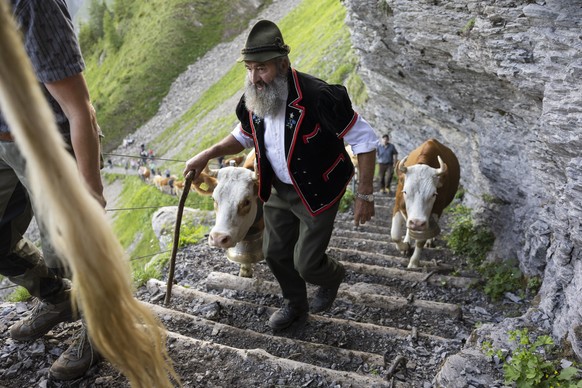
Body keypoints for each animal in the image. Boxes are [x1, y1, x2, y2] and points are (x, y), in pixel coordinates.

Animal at [392, 138, 460, 268]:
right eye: (405, 191)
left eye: (434, 194)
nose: (417, 223)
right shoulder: (398, 205)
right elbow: (395, 235)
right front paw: (405, 246)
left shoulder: (436, 210)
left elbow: (421, 240)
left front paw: (414, 262)